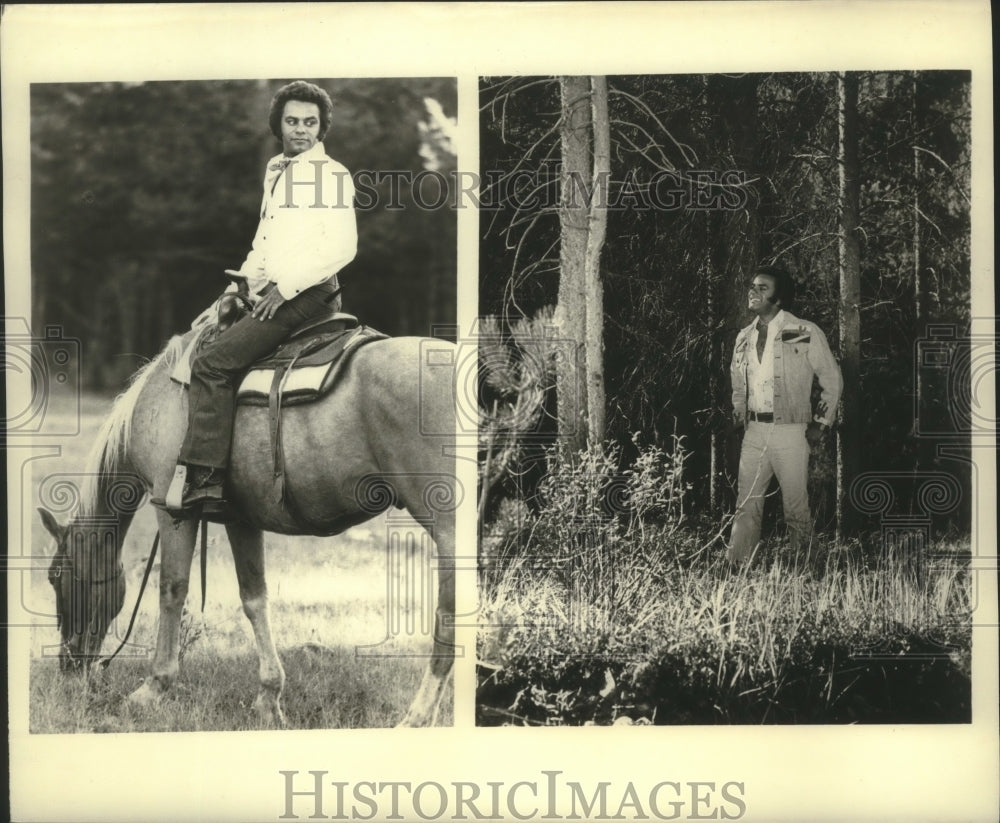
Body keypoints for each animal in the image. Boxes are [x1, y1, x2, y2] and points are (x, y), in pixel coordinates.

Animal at [39, 326, 458, 732]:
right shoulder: (240, 519)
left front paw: (153, 687)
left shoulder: (172, 510)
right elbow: (254, 598)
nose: (67, 666)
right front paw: (269, 699)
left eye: (54, 577)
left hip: (448, 530)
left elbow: (171, 591)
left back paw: (417, 716)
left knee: (448, 616)